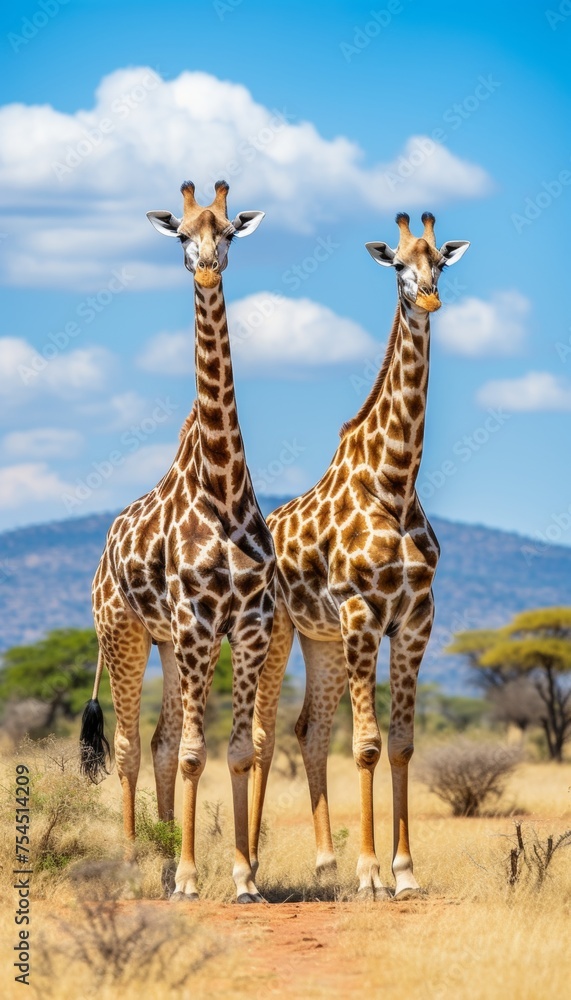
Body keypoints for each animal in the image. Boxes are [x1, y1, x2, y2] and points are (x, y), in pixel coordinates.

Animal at [80, 180, 276, 903]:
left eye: (228, 230)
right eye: (183, 233)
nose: (206, 266)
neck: (223, 487)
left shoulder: (245, 626)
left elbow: (235, 751)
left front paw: (243, 878)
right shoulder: (196, 624)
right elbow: (194, 753)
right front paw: (193, 879)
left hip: (167, 644)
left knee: (161, 742)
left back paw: (164, 864)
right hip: (126, 633)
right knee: (132, 746)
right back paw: (137, 865)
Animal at [249, 212, 469, 899]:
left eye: (440, 262)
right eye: (398, 265)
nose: (428, 299)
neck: (393, 483)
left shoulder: (416, 620)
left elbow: (400, 744)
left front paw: (404, 872)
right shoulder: (361, 614)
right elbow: (367, 744)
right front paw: (371, 873)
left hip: (318, 639)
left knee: (307, 730)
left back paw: (323, 863)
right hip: (279, 632)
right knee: (262, 734)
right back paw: (254, 864)